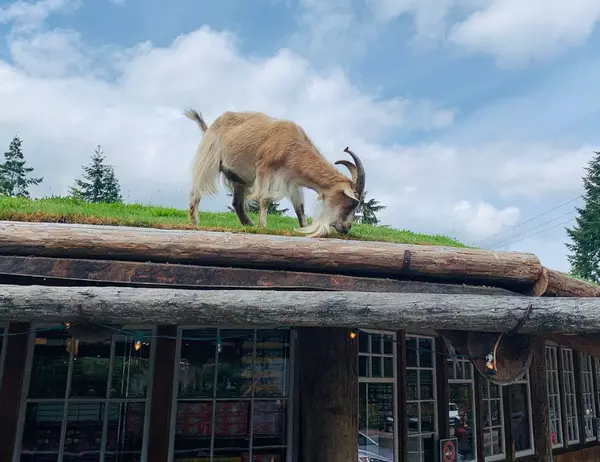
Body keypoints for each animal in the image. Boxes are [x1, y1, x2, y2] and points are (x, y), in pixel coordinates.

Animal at [183, 109, 366, 236]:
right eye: (352, 202)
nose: (346, 227)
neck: (293, 144)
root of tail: (210, 127)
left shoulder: (292, 180)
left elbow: (299, 207)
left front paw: (303, 226)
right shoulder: (265, 168)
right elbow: (264, 199)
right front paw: (263, 226)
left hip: (239, 179)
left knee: (237, 203)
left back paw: (248, 224)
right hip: (209, 159)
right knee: (196, 191)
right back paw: (194, 222)